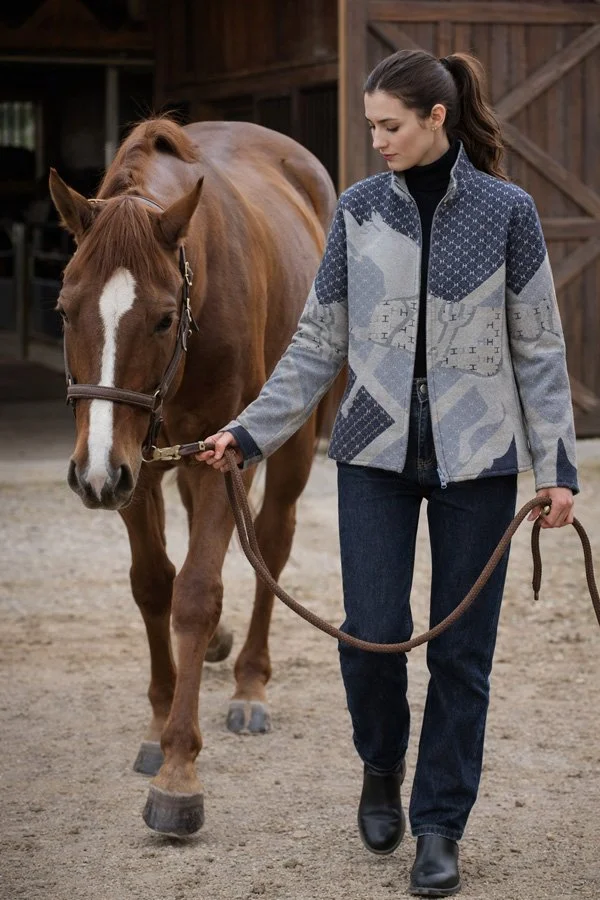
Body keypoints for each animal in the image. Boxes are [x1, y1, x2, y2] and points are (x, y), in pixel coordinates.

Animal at [49, 117, 340, 836]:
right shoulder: (132, 467)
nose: (91, 475)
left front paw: (180, 772)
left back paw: (250, 681)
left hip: (290, 440)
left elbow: (197, 592)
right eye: (65, 310)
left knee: (272, 543)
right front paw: (159, 725)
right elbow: (155, 585)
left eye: (160, 317)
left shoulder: (214, 456)